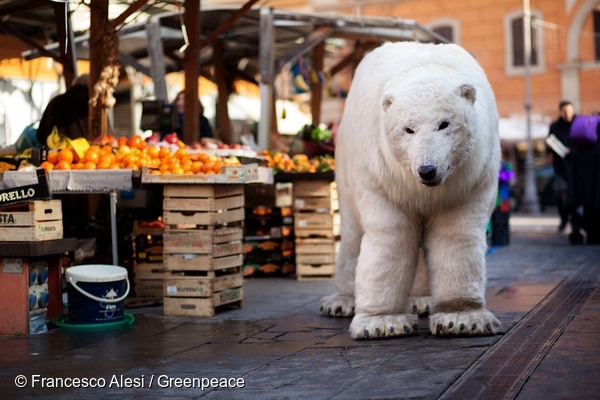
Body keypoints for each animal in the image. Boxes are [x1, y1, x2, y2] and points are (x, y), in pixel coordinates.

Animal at [322, 43, 504, 338]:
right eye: (408, 129)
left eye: (444, 124)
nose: (427, 170)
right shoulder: (383, 174)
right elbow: (392, 234)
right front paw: (381, 323)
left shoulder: (469, 178)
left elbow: (455, 232)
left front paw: (462, 319)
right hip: (346, 166)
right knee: (351, 235)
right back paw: (340, 302)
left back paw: (423, 300)